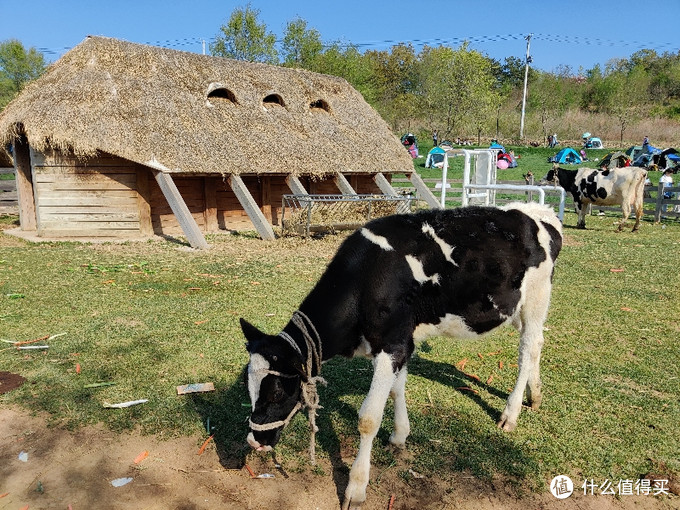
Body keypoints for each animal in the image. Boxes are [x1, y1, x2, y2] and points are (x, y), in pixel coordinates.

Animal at [242, 201, 560, 508]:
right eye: (249, 388)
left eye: (277, 392)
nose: (254, 442)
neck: (367, 279)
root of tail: (538, 212)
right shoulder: (400, 341)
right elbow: (396, 390)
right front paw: (399, 436)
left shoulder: (392, 344)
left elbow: (368, 418)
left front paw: (356, 488)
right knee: (537, 344)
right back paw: (536, 394)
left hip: (537, 295)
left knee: (528, 347)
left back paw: (511, 413)